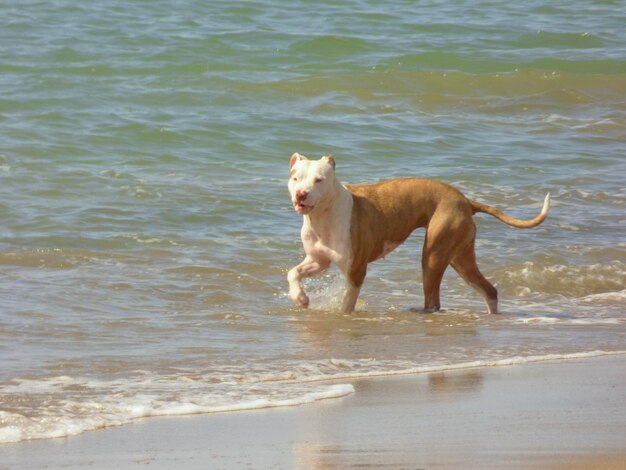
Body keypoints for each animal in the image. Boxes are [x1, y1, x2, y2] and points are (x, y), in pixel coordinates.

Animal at [286, 154, 548, 314]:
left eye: (319, 180)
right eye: (295, 178)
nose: (301, 194)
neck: (323, 216)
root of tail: (465, 200)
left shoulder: (356, 271)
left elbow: (346, 305)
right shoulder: (318, 261)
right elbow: (293, 273)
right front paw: (300, 297)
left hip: (434, 255)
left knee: (434, 298)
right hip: (461, 258)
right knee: (488, 290)